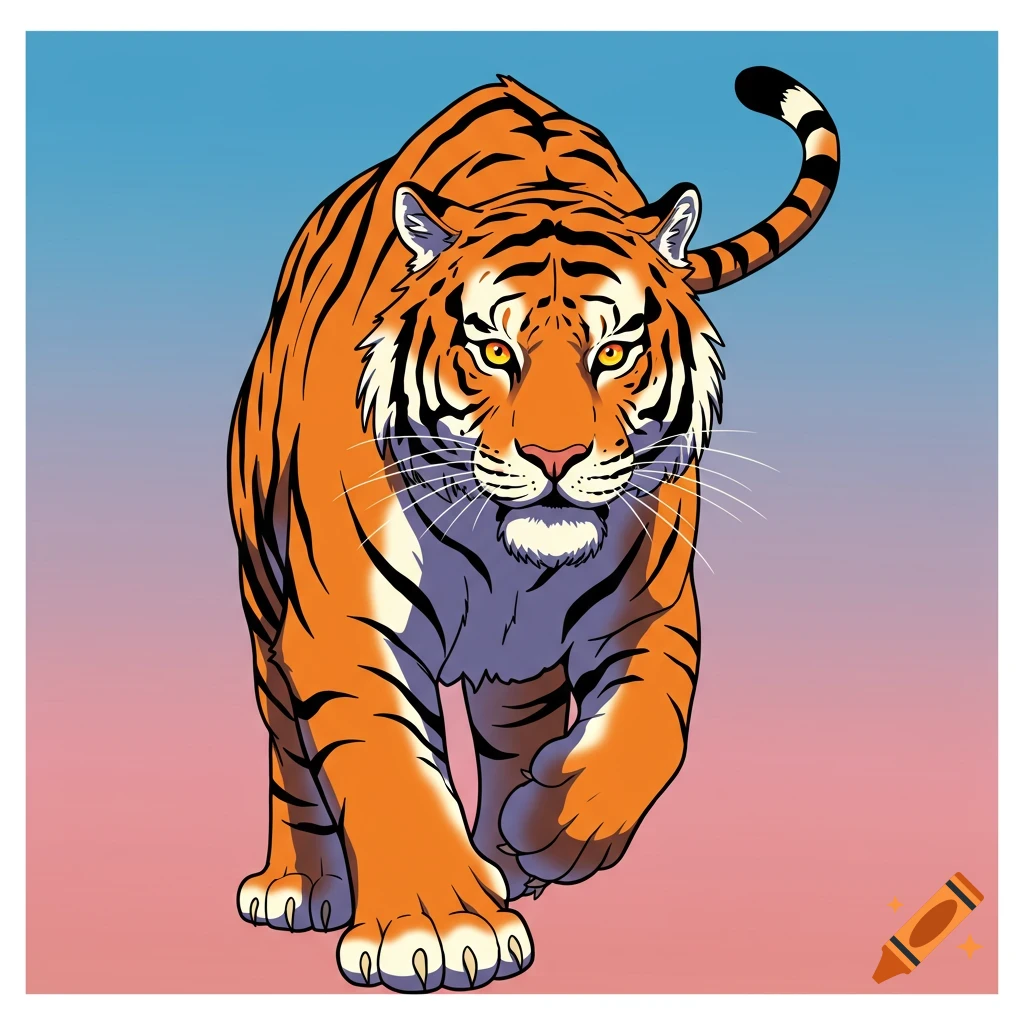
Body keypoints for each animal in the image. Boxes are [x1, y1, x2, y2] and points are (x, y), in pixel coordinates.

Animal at [228, 65, 839, 992]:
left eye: (614, 352)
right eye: (493, 351)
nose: (556, 455)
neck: (512, 562)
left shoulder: (653, 614)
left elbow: (646, 736)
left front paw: (550, 831)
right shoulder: (345, 624)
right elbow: (390, 769)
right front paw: (443, 930)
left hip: (516, 667)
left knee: (517, 724)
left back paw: (510, 853)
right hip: (265, 599)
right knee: (287, 747)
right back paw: (301, 887)